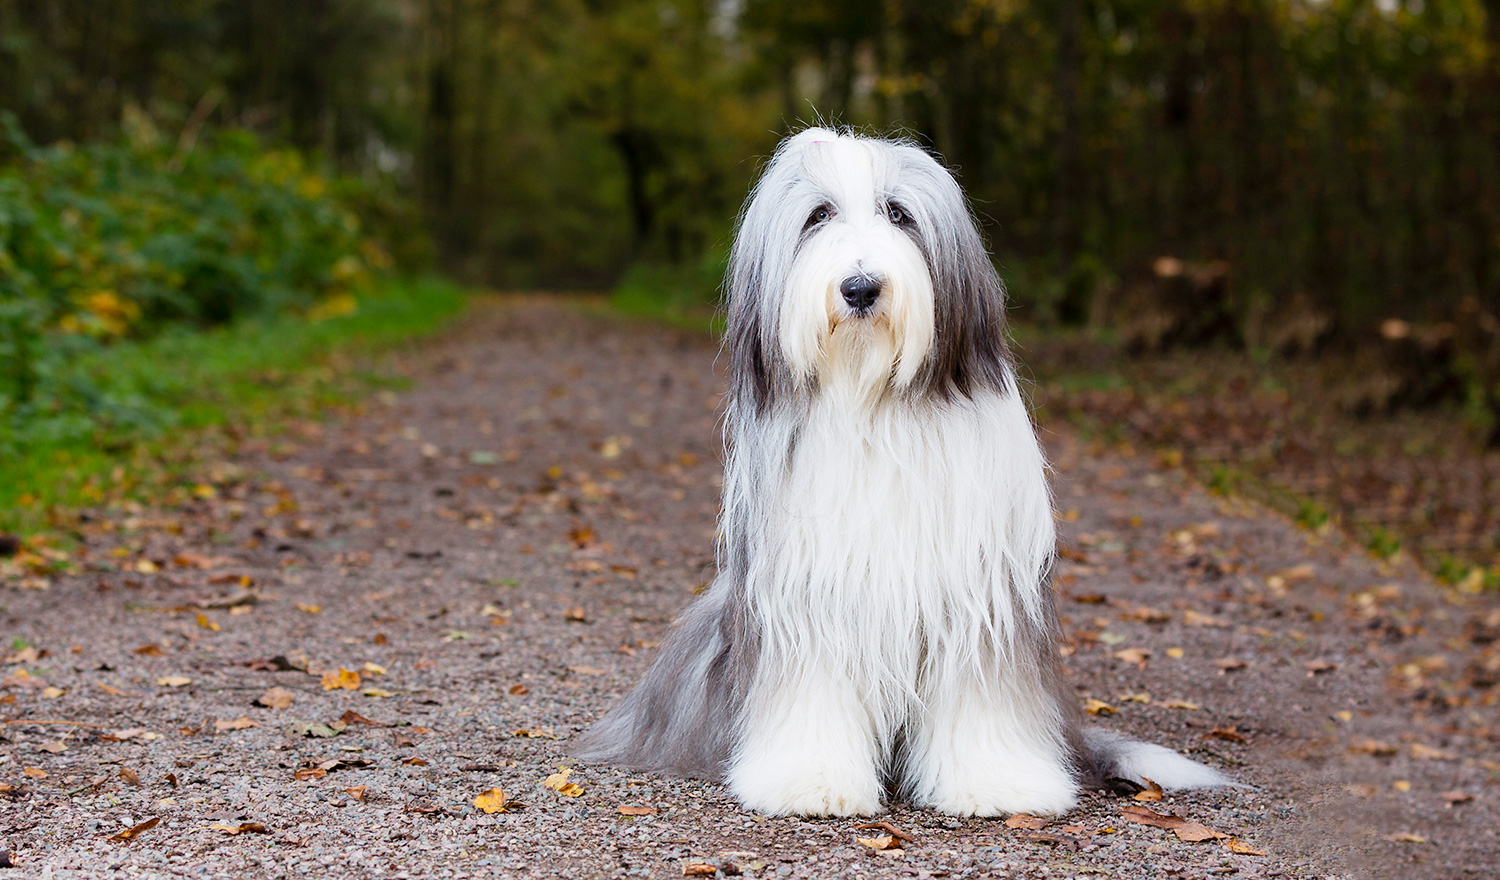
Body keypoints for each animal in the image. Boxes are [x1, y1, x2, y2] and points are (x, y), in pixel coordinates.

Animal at [573, 127, 1230, 815]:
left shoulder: (978, 591)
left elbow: (982, 693)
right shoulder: (809, 595)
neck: (873, 403)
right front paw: (811, 781)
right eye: (819, 215)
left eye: (898, 214)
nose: (862, 288)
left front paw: (997, 780)